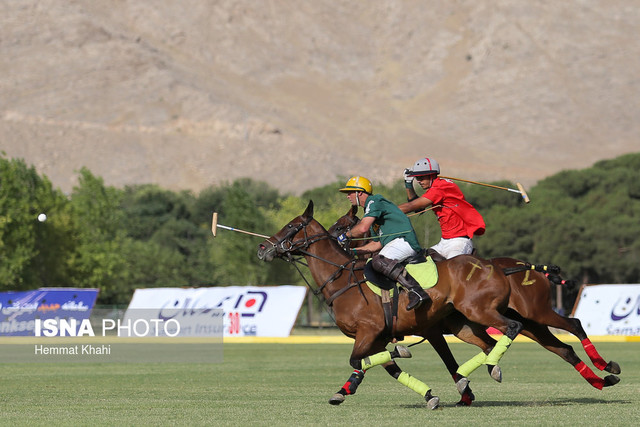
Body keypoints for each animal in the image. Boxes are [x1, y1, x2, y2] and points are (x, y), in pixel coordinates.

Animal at [258, 202, 524, 410]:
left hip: (479, 311)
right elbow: (386, 367)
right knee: (489, 344)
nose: (263, 248)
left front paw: (402, 351)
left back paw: (478, 373)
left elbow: (358, 360)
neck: (342, 279)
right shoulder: (375, 337)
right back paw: (484, 372)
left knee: (512, 327)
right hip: (464, 324)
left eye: (291, 226)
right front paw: (428, 395)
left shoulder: (370, 331)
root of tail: (498, 269)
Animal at [330, 206, 620, 396]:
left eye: (343, 223)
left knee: (574, 324)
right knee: (564, 348)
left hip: (533, 313)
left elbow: (449, 360)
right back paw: (602, 379)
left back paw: (605, 366)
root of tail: (525, 266)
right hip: (530, 323)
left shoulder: (430, 329)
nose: (336, 236)